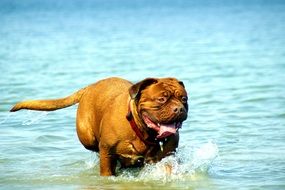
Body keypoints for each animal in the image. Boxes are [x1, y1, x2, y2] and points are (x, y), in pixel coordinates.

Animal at [11, 77, 187, 175]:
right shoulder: (107, 152)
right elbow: (107, 171)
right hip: (86, 136)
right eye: (161, 99)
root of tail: (89, 87)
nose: (179, 108)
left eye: (184, 99)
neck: (141, 131)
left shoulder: (167, 155)